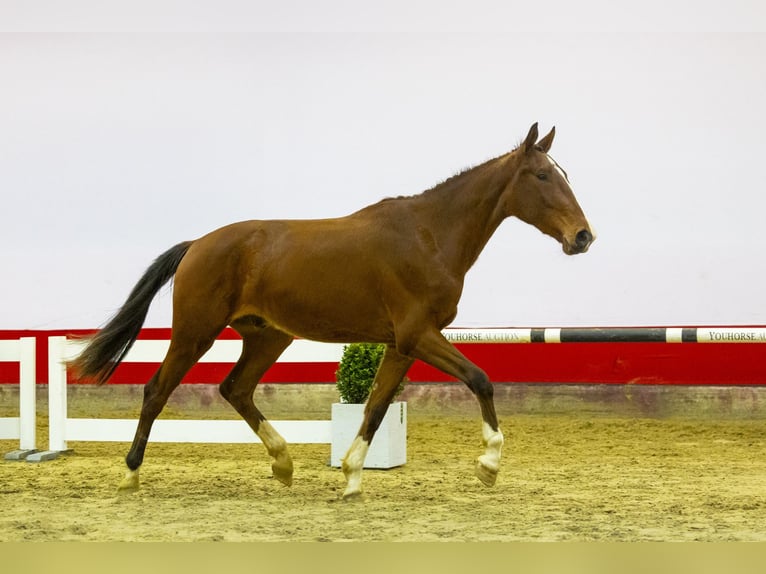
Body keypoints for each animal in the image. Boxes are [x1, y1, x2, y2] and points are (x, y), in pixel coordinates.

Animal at [70, 122, 592, 500]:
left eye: (565, 174)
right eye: (542, 175)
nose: (583, 236)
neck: (428, 236)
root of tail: (197, 244)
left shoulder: (401, 344)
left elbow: (377, 407)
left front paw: (352, 476)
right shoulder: (418, 335)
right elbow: (480, 379)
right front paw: (489, 465)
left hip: (268, 335)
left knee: (235, 388)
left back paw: (283, 464)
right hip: (196, 332)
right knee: (157, 390)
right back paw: (131, 475)